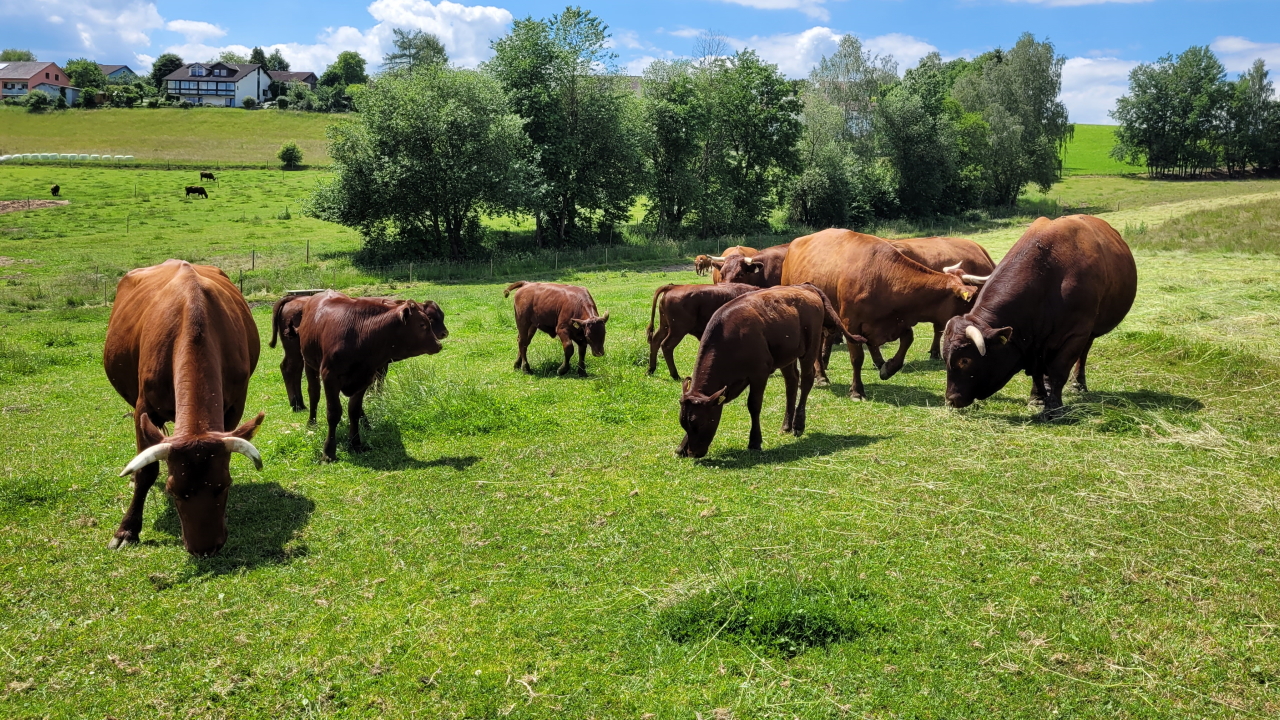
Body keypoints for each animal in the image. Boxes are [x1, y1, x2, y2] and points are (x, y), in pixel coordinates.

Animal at [104, 257, 264, 556]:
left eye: (224, 485)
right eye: (173, 491)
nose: (205, 549)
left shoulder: (235, 406)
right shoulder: (143, 408)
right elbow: (146, 472)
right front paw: (127, 530)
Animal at [296, 286, 448, 458]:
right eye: (423, 324)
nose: (438, 344)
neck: (360, 335)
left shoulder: (365, 378)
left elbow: (354, 411)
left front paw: (355, 443)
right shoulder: (330, 377)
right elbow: (333, 413)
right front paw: (328, 452)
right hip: (309, 364)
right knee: (314, 393)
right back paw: (311, 423)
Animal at [675, 283, 865, 456]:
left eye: (701, 423)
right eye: (684, 424)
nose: (693, 453)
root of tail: (806, 286)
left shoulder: (759, 374)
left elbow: (754, 405)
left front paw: (755, 441)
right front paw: (681, 447)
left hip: (810, 348)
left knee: (806, 381)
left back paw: (798, 425)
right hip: (787, 355)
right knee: (792, 383)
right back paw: (786, 425)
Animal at [778, 228, 977, 397]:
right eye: (968, 303)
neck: (883, 275)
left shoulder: (897, 321)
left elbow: (908, 339)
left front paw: (888, 368)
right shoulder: (850, 323)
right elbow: (857, 357)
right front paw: (857, 390)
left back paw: (879, 362)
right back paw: (821, 375)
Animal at [936, 213, 1136, 415]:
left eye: (965, 360)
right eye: (945, 357)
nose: (950, 400)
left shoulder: (1076, 334)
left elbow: (1059, 371)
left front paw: (1054, 406)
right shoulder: (1034, 344)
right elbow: (1038, 373)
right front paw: (1038, 398)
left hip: (1090, 331)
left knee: (1083, 353)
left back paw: (1077, 384)